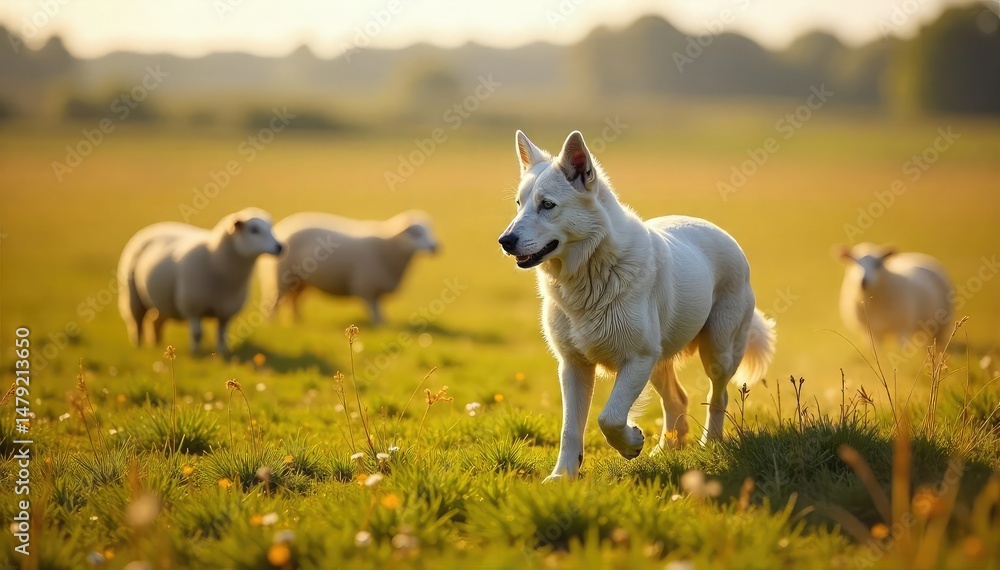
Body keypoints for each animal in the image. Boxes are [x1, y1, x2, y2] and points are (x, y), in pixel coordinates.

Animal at [117, 207, 283, 353]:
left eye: (270, 227)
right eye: (254, 229)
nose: (280, 247)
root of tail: (156, 227)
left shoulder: (226, 311)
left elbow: (222, 335)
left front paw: (222, 352)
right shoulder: (193, 307)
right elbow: (197, 334)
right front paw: (196, 353)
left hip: (163, 302)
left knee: (155, 322)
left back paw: (157, 345)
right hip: (132, 296)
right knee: (136, 322)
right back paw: (139, 347)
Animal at [259, 210, 438, 325]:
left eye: (430, 229)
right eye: (415, 233)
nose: (435, 247)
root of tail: (282, 226)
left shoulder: (375, 289)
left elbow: (380, 311)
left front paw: (384, 323)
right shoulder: (366, 287)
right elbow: (375, 311)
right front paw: (380, 326)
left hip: (299, 282)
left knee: (292, 302)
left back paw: (296, 321)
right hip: (280, 278)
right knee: (274, 304)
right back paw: (272, 325)